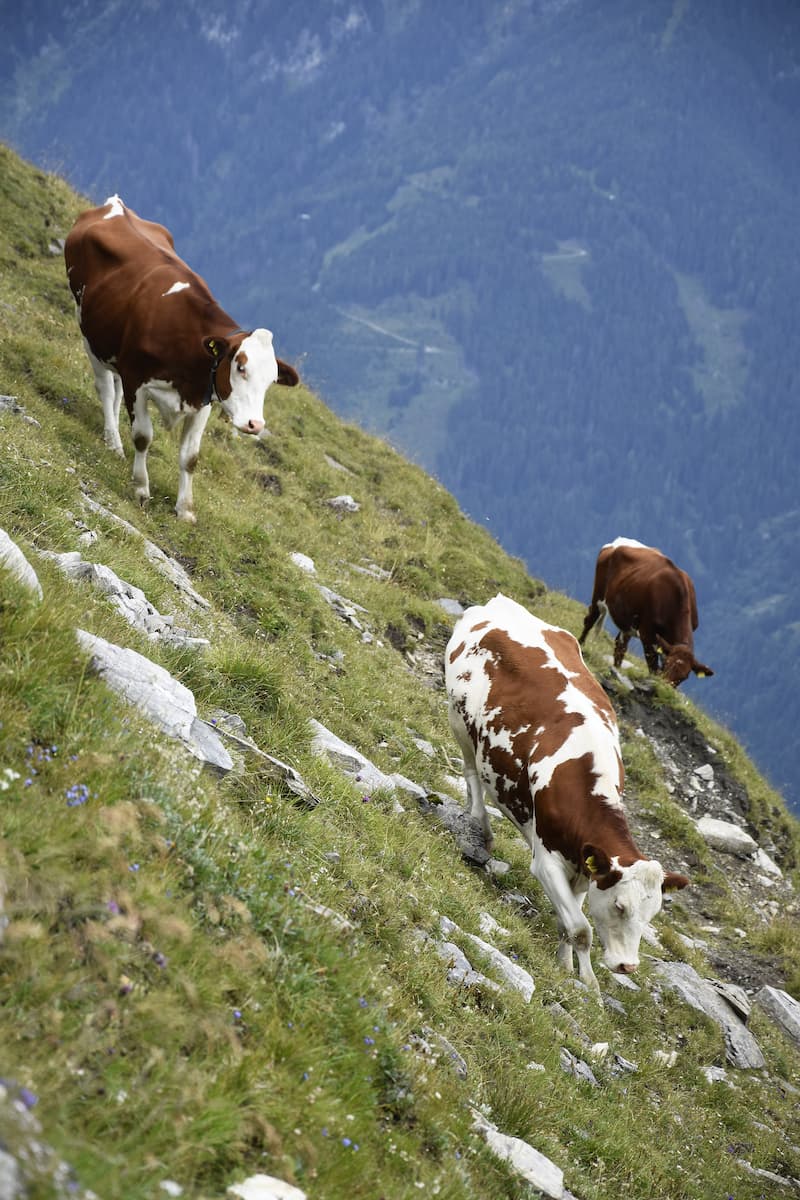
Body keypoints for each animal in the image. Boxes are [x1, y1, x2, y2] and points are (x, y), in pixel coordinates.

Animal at [65, 195, 299, 522]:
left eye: (272, 380)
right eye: (240, 366)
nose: (255, 424)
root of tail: (114, 204)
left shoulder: (202, 399)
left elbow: (190, 457)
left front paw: (185, 509)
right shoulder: (137, 380)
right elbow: (143, 436)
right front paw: (141, 488)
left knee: (115, 389)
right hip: (87, 329)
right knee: (106, 388)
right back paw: (113, 441)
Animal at [445, 593, 688, 992]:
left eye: (652, 913)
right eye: (620, 906)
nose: (627, 966)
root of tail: (499, 603)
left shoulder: (583, 869)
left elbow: (566, 924)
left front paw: (564, 965)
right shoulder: (546, 861)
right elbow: (581, 928)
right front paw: (589, 982)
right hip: (459, 720)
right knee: (471, 773)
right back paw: (480, 824)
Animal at [578, 537, 713, 687]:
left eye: (684, 677)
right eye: (667, 666)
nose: (665, 687)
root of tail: (617, 541)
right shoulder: (647, 634)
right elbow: (653, 667)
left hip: (628, 619)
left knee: (620, 646)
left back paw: (616, 669)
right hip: (599, 593)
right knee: (590, 620)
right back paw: (580, 645)